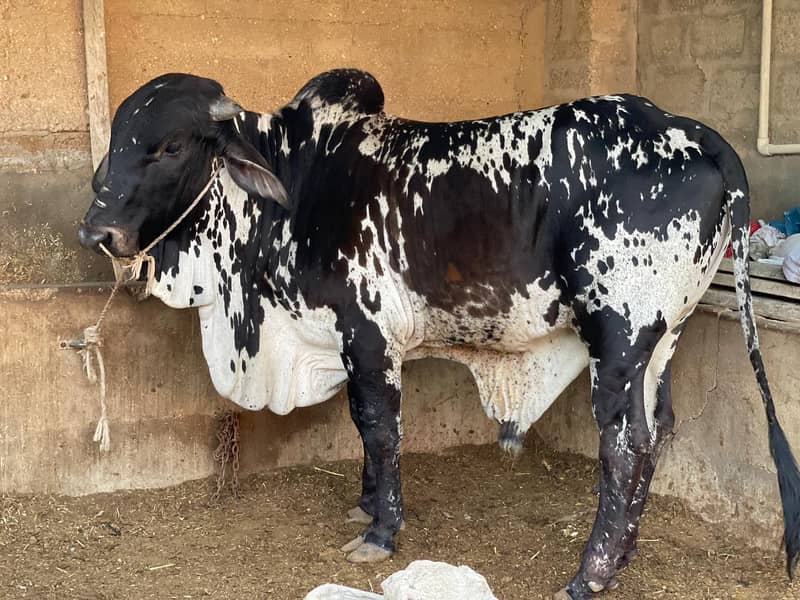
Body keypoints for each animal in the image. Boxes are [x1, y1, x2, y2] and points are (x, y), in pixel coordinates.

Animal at [78, 69, 800, 598]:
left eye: (171, 146)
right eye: (116, 139)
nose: (95, 231)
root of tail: (697, 135)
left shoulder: (368, 336)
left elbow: (379, 427)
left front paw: (382, 532)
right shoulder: (351, 342)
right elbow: (361, 425)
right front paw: (365, 506)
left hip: (619, 340)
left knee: (625, 447)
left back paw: (588, 575)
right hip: (663, 340)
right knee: (658, 432)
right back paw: (621, 557)